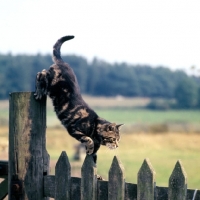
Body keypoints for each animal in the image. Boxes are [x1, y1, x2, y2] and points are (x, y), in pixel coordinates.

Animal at [34, 35, 123, 166]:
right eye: (113, 139)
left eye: (118, 139)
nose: (117, 146)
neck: (95, 125)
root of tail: (63, 63)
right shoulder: (74, 129)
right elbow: (88, 139)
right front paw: (90, 146)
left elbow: (93, 158)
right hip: (49, 81)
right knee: (40, 73)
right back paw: (39, 90)